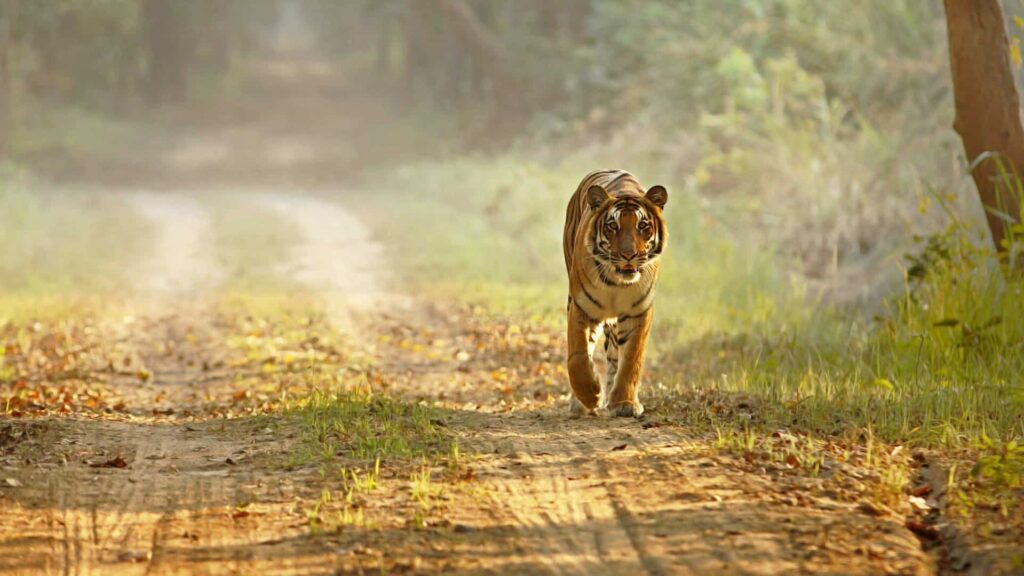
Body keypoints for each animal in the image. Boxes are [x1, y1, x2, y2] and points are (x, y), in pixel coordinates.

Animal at [563, 169, 668, 417]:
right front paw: (590, 394)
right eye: (612, 226)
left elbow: (631, 359)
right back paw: (582, 402)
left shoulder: (638, 312)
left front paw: (624, 403)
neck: (616, 283)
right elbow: (577, 356)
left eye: (643, 226)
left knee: (613, 356)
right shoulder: (581, 307)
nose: (629, 255)